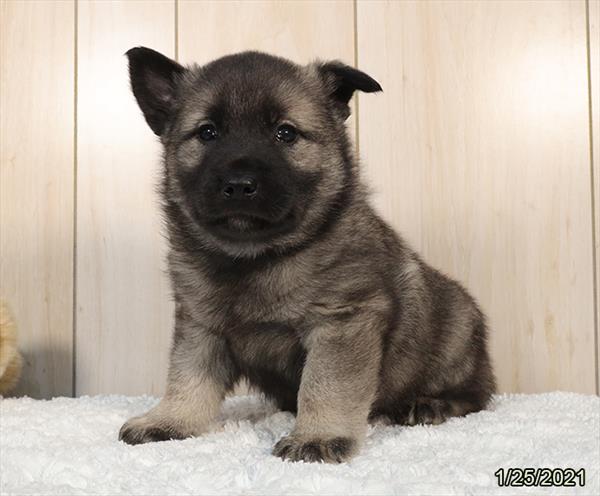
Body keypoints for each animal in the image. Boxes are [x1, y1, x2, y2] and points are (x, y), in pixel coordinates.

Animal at [119, 46, 494, 462]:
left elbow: (326, 385)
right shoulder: (201, 326)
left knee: (477, 394)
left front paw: (317, 435)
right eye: (207, 132)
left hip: (455, 331)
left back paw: (429, 404)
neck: (257, 258)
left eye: (285, 133)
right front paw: (170, 420)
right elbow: (188, 378)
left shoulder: (341, 323)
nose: (239, 184)